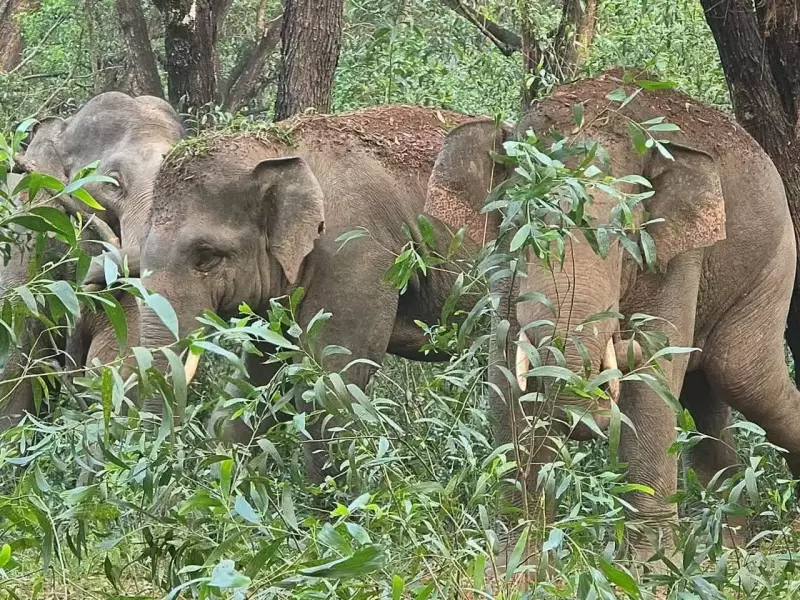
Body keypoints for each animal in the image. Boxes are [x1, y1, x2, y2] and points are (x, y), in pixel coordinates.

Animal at [423, 70, 800, 560]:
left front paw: (650, 565)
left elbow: (654, 379)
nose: (593, 418)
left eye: (623, 234)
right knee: (705, 392)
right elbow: (506, 372)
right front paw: (518, 560)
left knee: (740, 374)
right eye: (522, 226)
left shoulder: (677, 255)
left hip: (774, 263)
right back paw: (727, 545)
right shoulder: (503, 269)